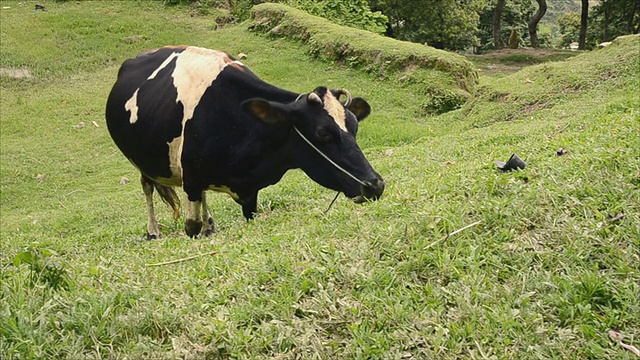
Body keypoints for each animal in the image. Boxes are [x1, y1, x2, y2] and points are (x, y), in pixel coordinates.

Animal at [106, 45, 384, 239]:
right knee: (147, 188)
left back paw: (210, 226)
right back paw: (153, 231)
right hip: (142, 161)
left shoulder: (248, 191)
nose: (375, 184)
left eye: (354, 128)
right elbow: (190, 226)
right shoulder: (192, 180)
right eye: (322, 133)